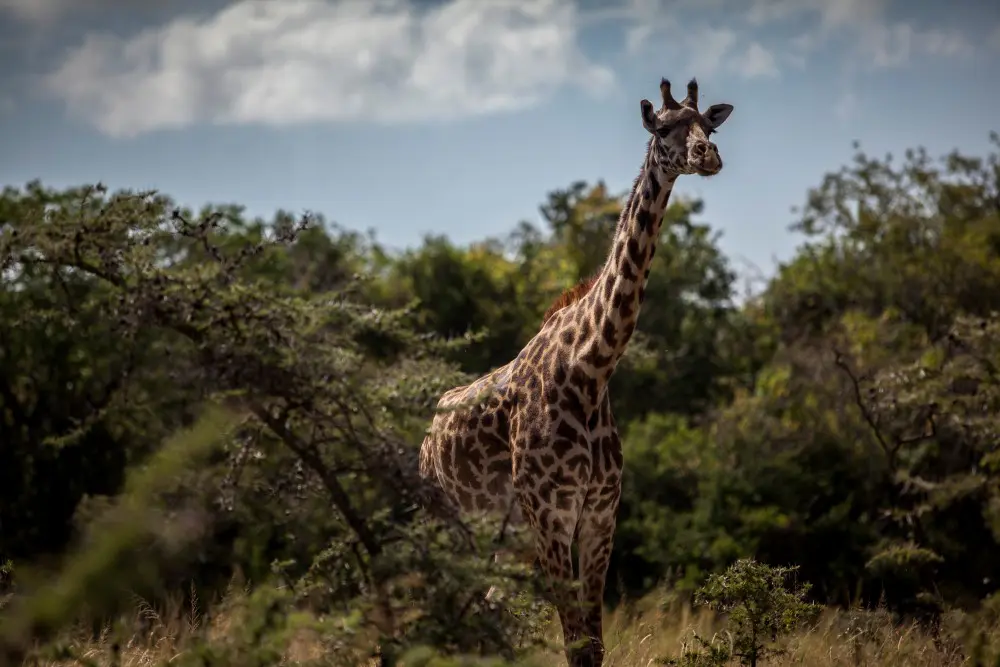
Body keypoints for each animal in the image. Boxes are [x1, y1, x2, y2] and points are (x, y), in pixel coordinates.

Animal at [419, 76, 734, 667]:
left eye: (710, 122)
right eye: (663, 128)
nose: (708, 156)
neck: (590, 368)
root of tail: (426, 439)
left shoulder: (600, 517)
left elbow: (593, 645)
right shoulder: (551, 516)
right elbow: (575, 646)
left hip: (502, 547)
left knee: (482, 615)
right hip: (446, 526)